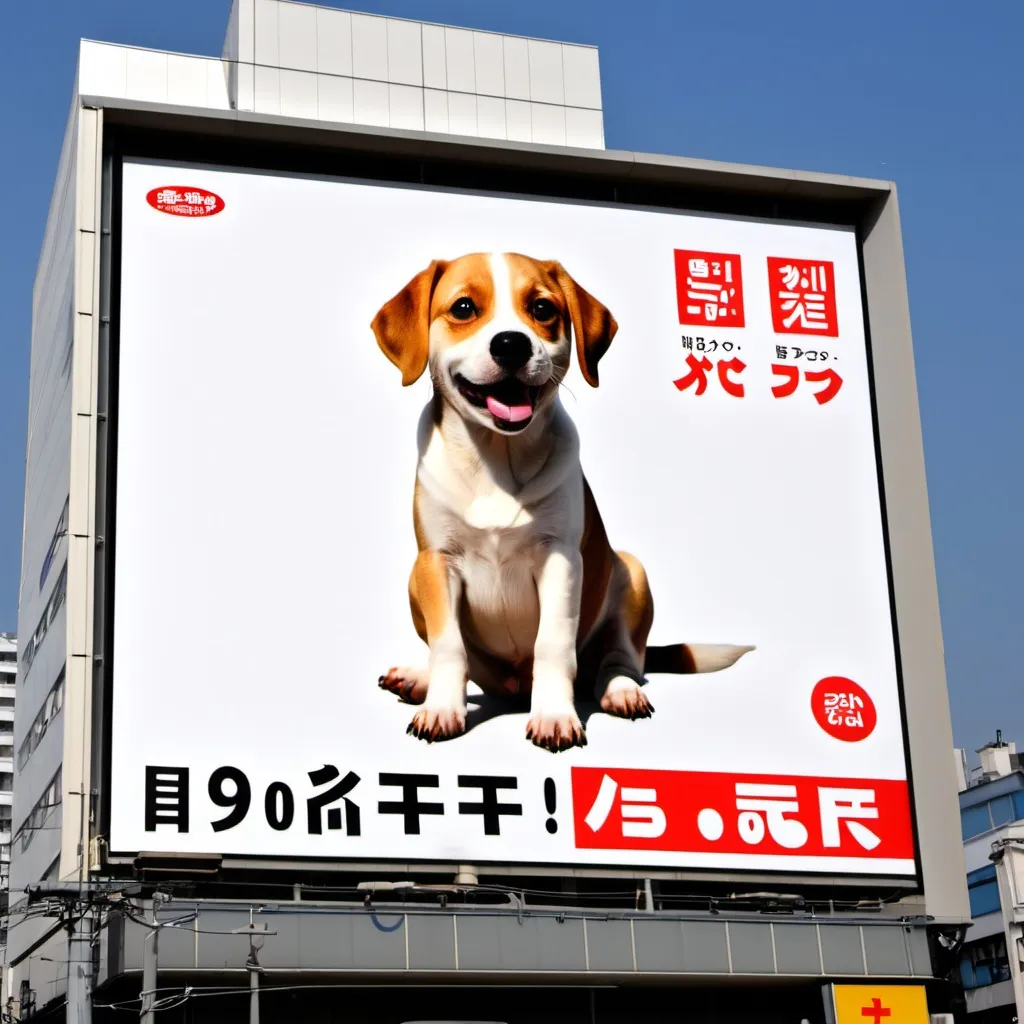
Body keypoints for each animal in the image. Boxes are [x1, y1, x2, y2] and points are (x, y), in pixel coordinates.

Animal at [370, 253, 753, 753]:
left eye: (542, 308)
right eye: (464, 307)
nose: (511, 344)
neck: (496, 459)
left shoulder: (561, 559)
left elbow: (552, 644)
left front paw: (554, 716)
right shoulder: (436, 561)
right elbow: (449, 646)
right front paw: (441, 709)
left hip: (631, 572)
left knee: (621, 660)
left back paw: (621, 691)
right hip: (414, 583)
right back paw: (418, 678)